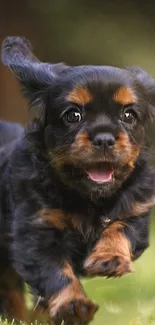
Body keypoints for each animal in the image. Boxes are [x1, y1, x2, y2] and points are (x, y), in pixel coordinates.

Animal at [0, 36, 155, 322]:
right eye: (73, 115)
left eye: (129, 115)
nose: (104, 139)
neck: (89, 197)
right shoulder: (37, 230)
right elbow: (56, 272)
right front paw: (73, 306)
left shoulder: (136, 210)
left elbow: (119, 229)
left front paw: (109, 258)